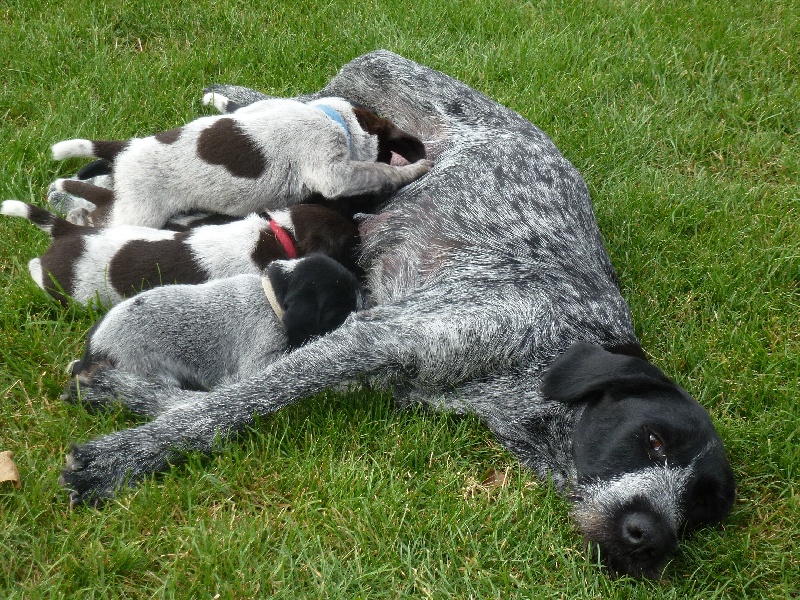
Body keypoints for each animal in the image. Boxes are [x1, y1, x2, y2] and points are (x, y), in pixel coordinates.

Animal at [0, 199, 356, 308]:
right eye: (347, 242)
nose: (359, 227)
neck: (282, 234)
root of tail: (66, 231)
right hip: (65, 286)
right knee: (37, 270)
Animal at [64, 52, 736, 580]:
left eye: (703, 510)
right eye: (651, 440)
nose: (650, 537)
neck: (552, 347)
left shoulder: (375, 360)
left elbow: (223, 395)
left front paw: (125, 397)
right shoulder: (376, 334)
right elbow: (229, 405)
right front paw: (127, 453)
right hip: (360, 93)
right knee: (292, 103)